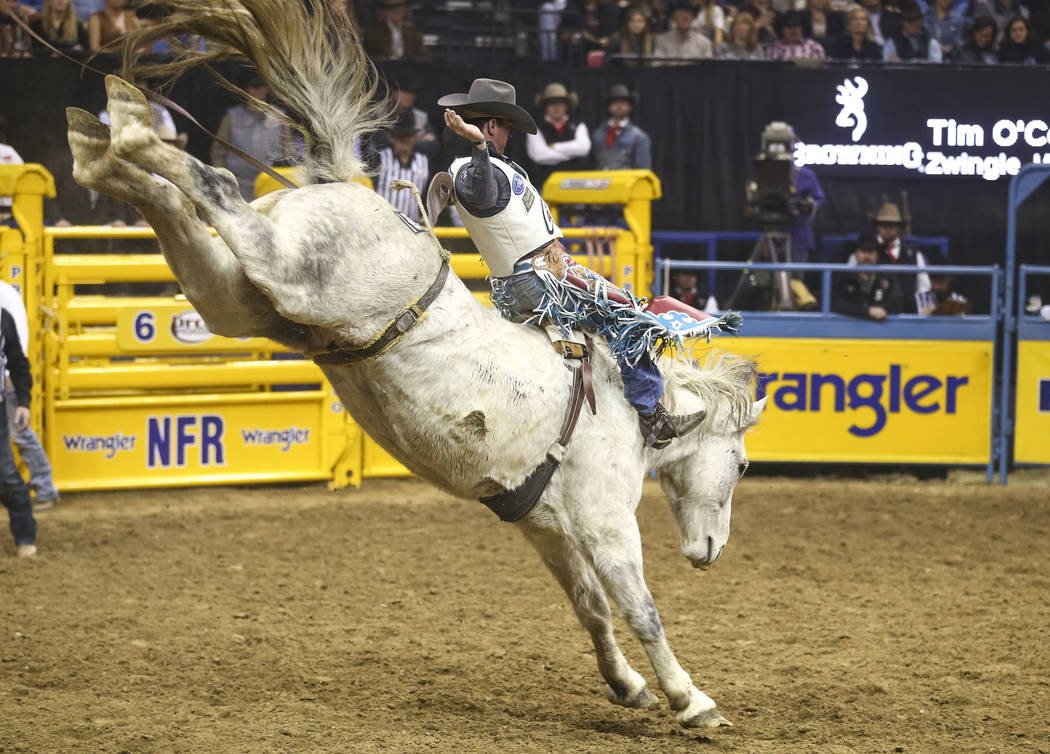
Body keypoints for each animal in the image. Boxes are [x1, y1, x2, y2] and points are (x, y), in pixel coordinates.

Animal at [67, 0, 764, 730]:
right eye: (743, 466)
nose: (710, 553)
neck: (628, 411)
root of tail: (333, 179)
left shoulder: (547, 528)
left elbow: (591, 608)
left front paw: (626, 685)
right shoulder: (606, 525)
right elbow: (641, 610)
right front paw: (692, 700)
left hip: (239, 294)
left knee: (173, 206)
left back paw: (103, 135)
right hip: (287, 268)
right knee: (214, 183)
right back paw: (133, 127)